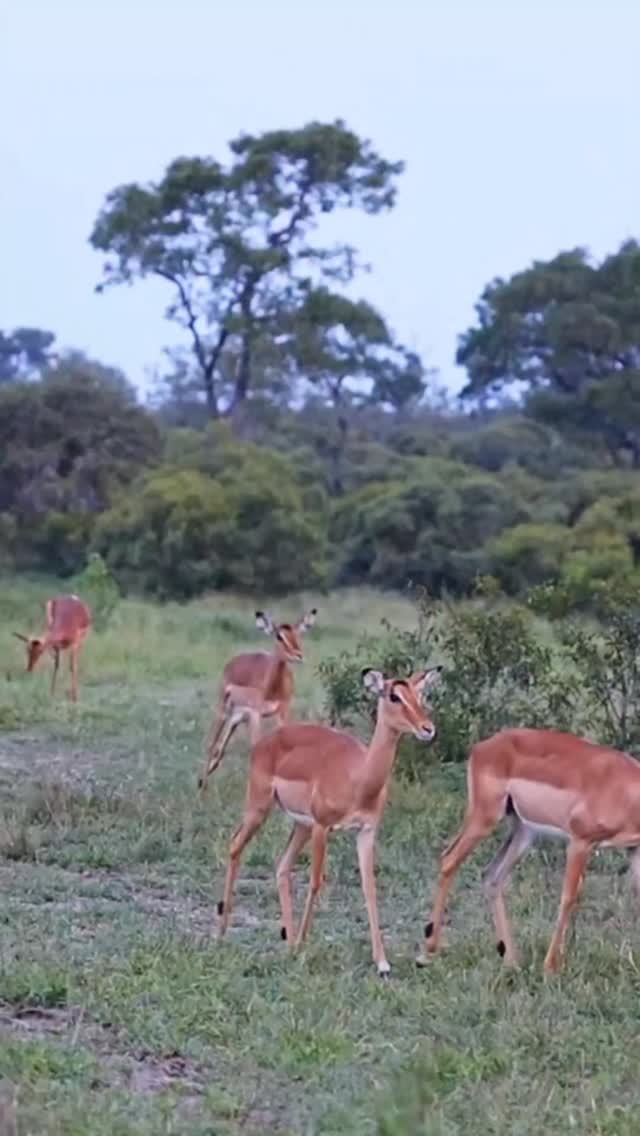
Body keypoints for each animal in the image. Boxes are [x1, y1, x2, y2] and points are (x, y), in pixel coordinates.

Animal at [198, 608, 317, 792]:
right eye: (279, 636)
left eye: (299, 634)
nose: (298, 655)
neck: (272, 687)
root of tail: (233, 661)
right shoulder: (256, 713)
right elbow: (255, 746)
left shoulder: (283, 711)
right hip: (224, 710)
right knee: (212, 743)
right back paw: (202, 787)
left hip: (237, 717)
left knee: (221, 748)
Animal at [217, 666, 441, 977]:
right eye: (394, 696)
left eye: (420, 695)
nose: (427, 728)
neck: (358, 778)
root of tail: (263, 743)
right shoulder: (323, 827)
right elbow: (315, 882)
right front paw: (303, 948)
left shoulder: (366, 831)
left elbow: (369, 887)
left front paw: (382, 963)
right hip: (260, 808)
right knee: (234, 845)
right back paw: (222, 934)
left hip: (301, 826)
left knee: (282, 866)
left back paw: (288, 944)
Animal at [419, 727, 640, 974]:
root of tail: (481, 747)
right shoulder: (580, 842)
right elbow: (569, 898)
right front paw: (551, 967)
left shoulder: (634, 849)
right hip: (484, 818)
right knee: (449, 859)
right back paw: (428, 950)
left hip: (523, 833)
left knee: (491, 876)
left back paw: (511, 960)